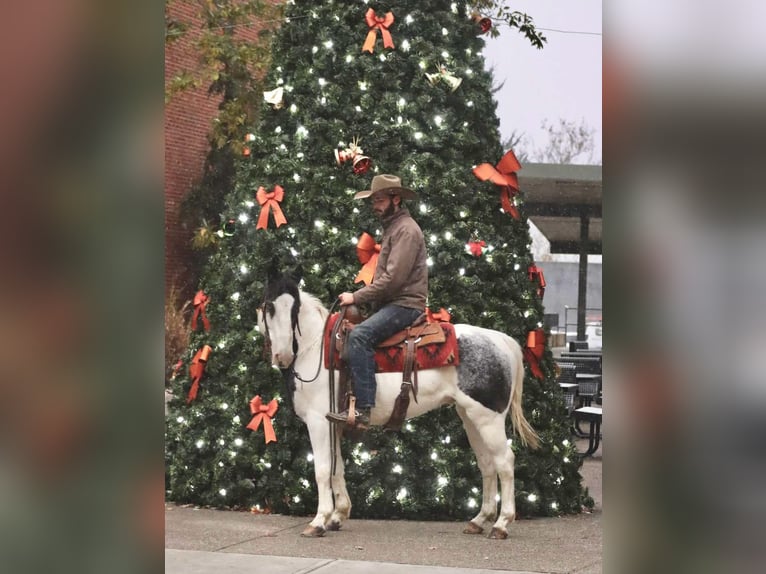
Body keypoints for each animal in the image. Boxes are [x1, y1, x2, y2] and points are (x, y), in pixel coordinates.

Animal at [258, 278, 540, 540]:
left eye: (293, 309)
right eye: (269, 306)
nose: (282, 356)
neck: (316, 348)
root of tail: (500, 340)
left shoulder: (318, 421)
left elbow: (323, 469)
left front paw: (318, 522)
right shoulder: (333, 423)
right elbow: (337, 467)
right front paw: (337, 517)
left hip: (488, 419)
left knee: (505, 461)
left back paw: (501, 524)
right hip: (470, 417)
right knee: (486, 463)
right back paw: (479, 520)